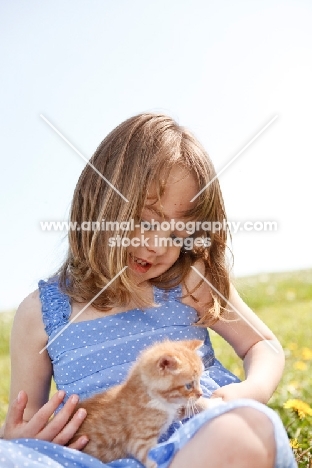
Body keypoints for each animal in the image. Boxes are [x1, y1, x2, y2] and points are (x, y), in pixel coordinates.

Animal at [70, 340, 211, 468]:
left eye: (199, 380)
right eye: (189, 385)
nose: (201, 393)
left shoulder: (173, 408)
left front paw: (212, 402)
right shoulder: (139, 442)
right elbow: (153, 458)